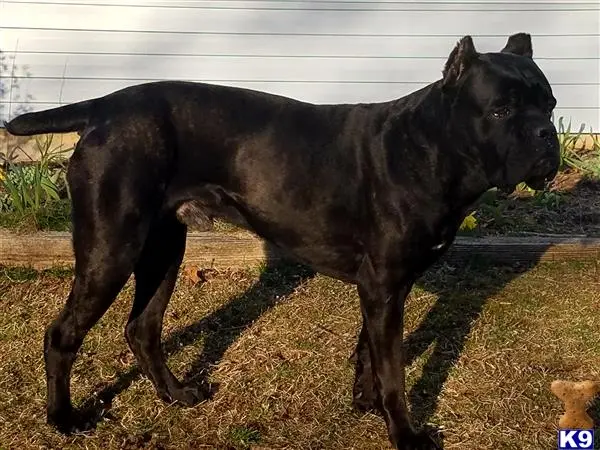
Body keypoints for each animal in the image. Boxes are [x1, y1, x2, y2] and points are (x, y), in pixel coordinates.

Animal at [4, 33, 560, 448]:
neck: (431, 146)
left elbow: (368, 351)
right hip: (111, 249)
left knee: (142, 328)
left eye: (551, 106)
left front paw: (365, 403)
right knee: (63, 333)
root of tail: (106, 105)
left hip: (164, 249)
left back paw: (176, 395)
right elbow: (395, 371)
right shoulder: (384, 286)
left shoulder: (382, 288)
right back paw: (65, 419)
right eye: (501, 111)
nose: (546, 137)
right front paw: (403, 433)